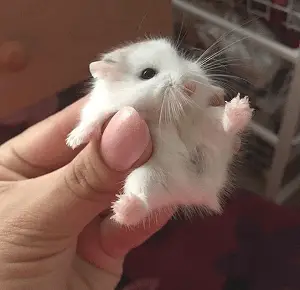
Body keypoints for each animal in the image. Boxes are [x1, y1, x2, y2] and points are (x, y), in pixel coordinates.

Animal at [65, 37, 253, 225]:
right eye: (147, 73)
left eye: (180, 57)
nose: (190, 86)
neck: (162, 113)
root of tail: (197, 191)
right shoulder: (100, 107)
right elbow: (91, 120)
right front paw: (73, 142)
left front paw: (218, 92)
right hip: (147, 177)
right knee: (141, 204)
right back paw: (123, 207)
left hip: (209, 124)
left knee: (225, 126)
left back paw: (239, 107)